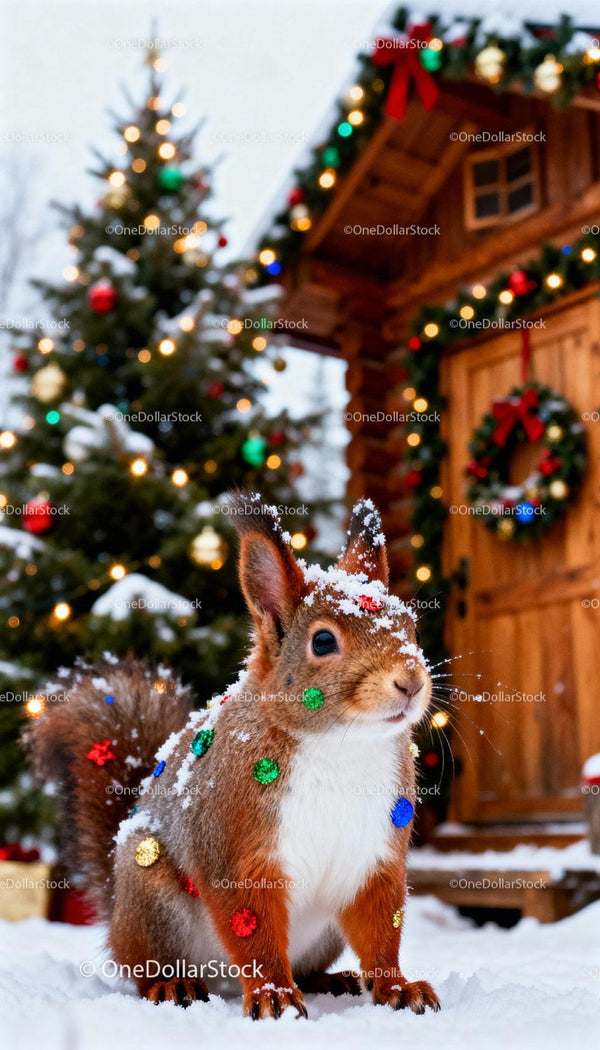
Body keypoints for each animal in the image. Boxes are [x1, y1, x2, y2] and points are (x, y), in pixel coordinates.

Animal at [28, 493, 440, 1020]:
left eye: (413, 627)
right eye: (323, 641)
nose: (410, 682)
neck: (341, 746)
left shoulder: (376, 857)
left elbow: (381, 930)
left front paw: (397, 988)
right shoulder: (236, 848)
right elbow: (253, 931)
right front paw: (273, 995)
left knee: (310, 962)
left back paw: (332, 980)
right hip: (152, 901)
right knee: (142, 965)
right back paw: (172, 986)